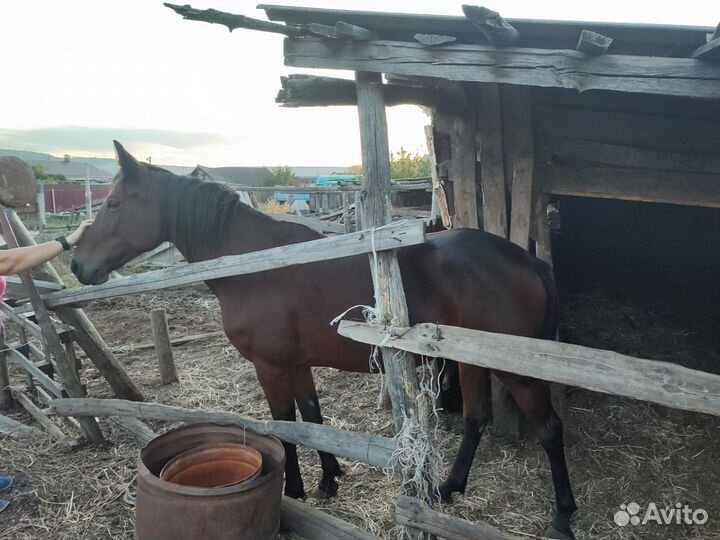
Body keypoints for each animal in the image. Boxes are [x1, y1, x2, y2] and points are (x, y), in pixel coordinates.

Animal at [72, 142, 576, 540]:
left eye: (113, 204)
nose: (77, 264)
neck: (259, 265)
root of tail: (524, 259)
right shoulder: (296, 364)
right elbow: (312, 418)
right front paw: (330, 479)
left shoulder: (271, 367)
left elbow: (285, 427)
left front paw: (294, 490)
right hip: (470, 362)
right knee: (475, 419)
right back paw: (448, 489)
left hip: (516, 371)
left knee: (550, 429)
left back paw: (562, 518)